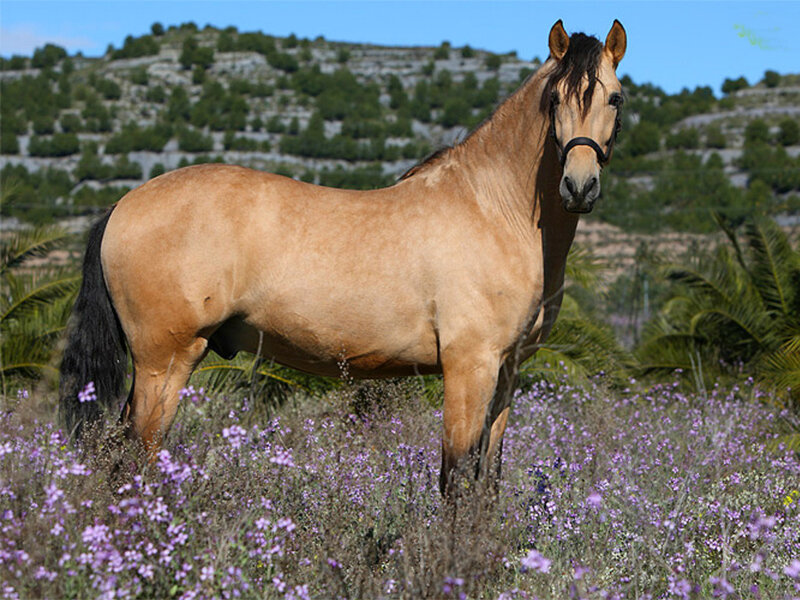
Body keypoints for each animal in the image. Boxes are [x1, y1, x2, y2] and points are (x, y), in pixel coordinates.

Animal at [59, 20, 626, 495]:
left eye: (616, 98)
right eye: (554, 98)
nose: (579, 186)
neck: (491, 207)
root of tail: (123, 205)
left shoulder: (506, 374)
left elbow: (486, 483)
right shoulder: (470, 368)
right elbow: (456, 482)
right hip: (165, 363)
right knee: (135, 458)